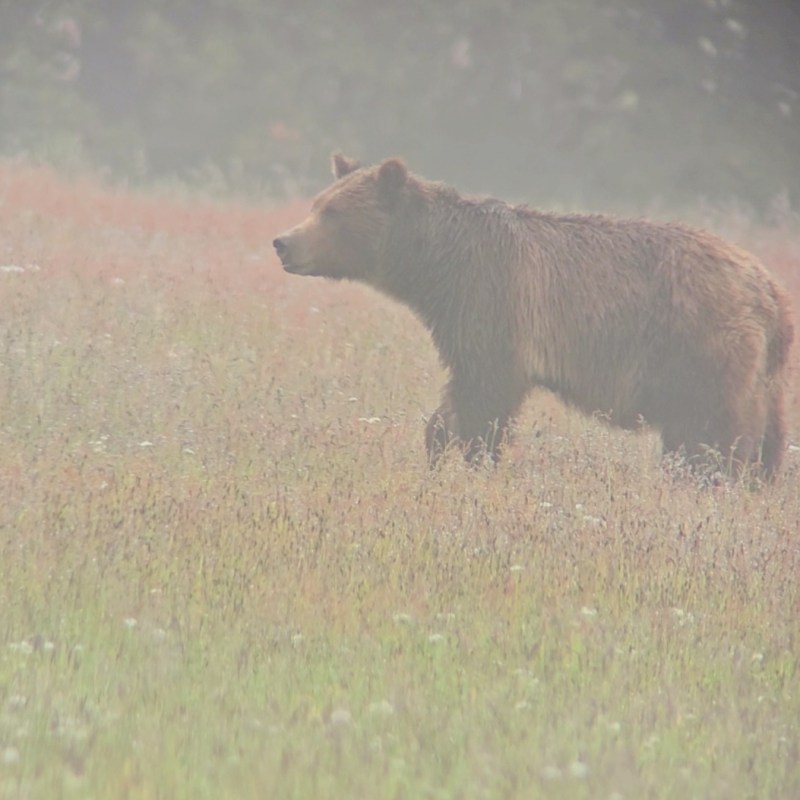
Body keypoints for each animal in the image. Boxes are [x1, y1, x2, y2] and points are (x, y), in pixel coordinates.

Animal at [274, 154, 794, 479]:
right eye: (317, 204)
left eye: (333, 212)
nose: (283, 242)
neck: (437, 269)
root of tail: (768, 290)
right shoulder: (463, 318)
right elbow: (454, 402)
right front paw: (438, 450)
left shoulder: (493, 303)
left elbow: (484, 397)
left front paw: (476, 460)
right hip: (763, 374)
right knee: (763, 434)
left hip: (699, 348)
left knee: (710, 432)